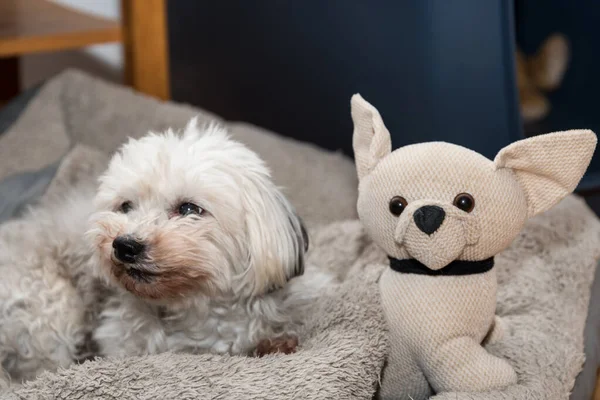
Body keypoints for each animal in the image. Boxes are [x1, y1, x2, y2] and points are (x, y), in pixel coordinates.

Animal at [0, 119, 330, 384]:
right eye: (125, 206)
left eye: (188, 209)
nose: (125, 245)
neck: (192, 307)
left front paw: (276, 343)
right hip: (51, 311)